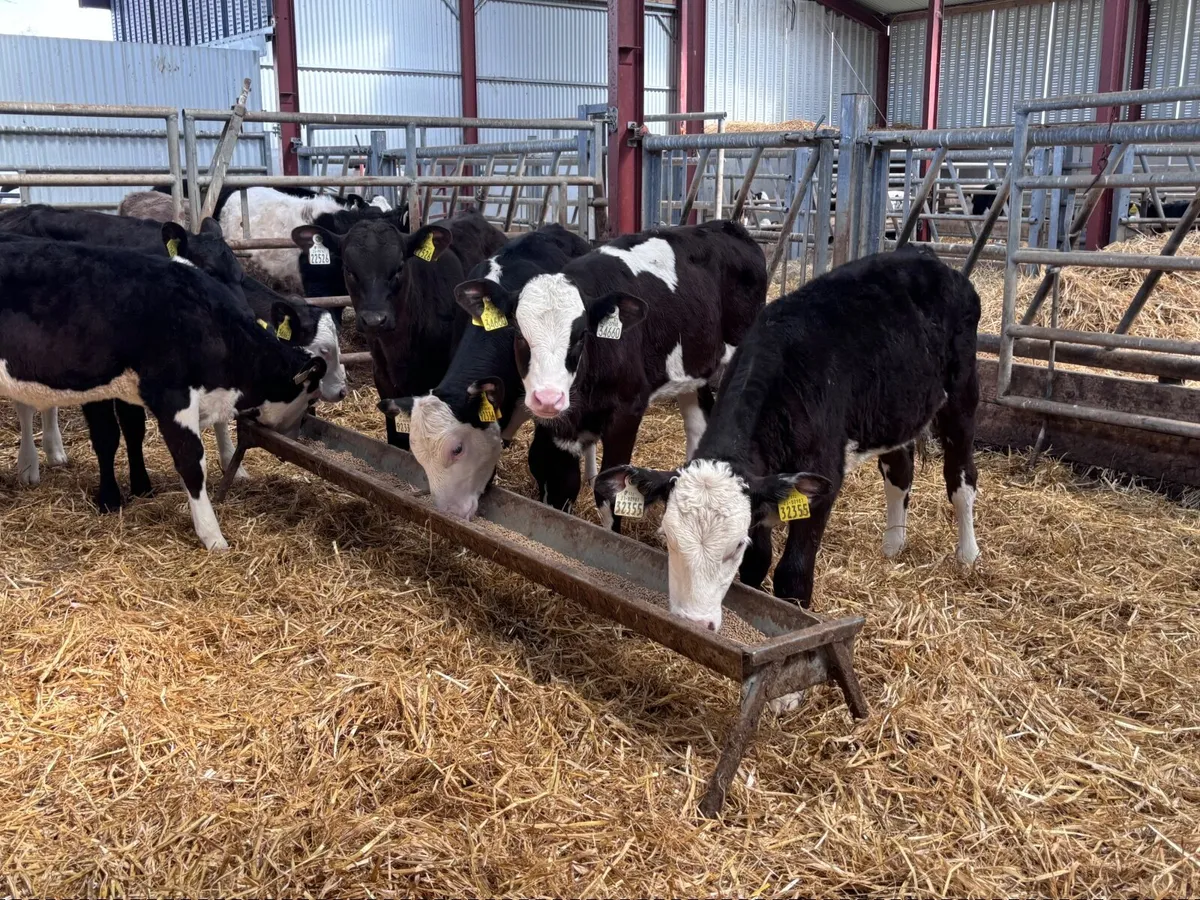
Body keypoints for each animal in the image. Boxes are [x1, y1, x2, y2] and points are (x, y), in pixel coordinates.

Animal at [500, 220, 767, 532]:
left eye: (581, 336)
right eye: (519, 335)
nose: (547, 398)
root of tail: (727, 225)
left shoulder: (627, 410)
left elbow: (610, 493)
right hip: (693, 368)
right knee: (698, 422)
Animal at [595, 246, 981, 635]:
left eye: (734, 545)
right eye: (668, 536)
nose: (693, 621)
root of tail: (924, 256)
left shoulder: (822, 480)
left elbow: (792, 576)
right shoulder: (763, 484)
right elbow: (758, 563)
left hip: (962, 396)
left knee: (961, 478)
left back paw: (967, 556)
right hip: (897, 411)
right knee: (899, 473)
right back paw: (893, 545)